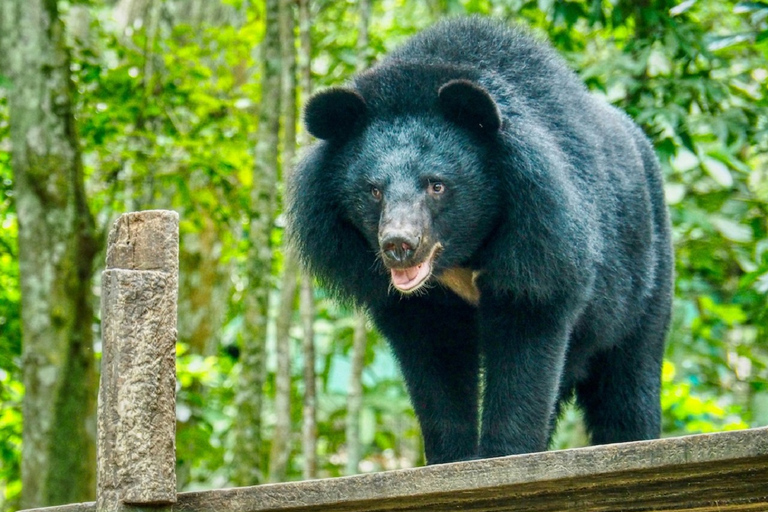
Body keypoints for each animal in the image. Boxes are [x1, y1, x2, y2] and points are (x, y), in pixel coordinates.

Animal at [288, 17, 672, 464]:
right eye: (373, 190)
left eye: (436, 185)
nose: (399, 245)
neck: (460, 255)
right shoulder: (413, 300)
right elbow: (435, 360)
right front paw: (452, 458)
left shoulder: (541, 238)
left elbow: (526, 341)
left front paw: (505, 453)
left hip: (644, 279)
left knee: (628, 378)